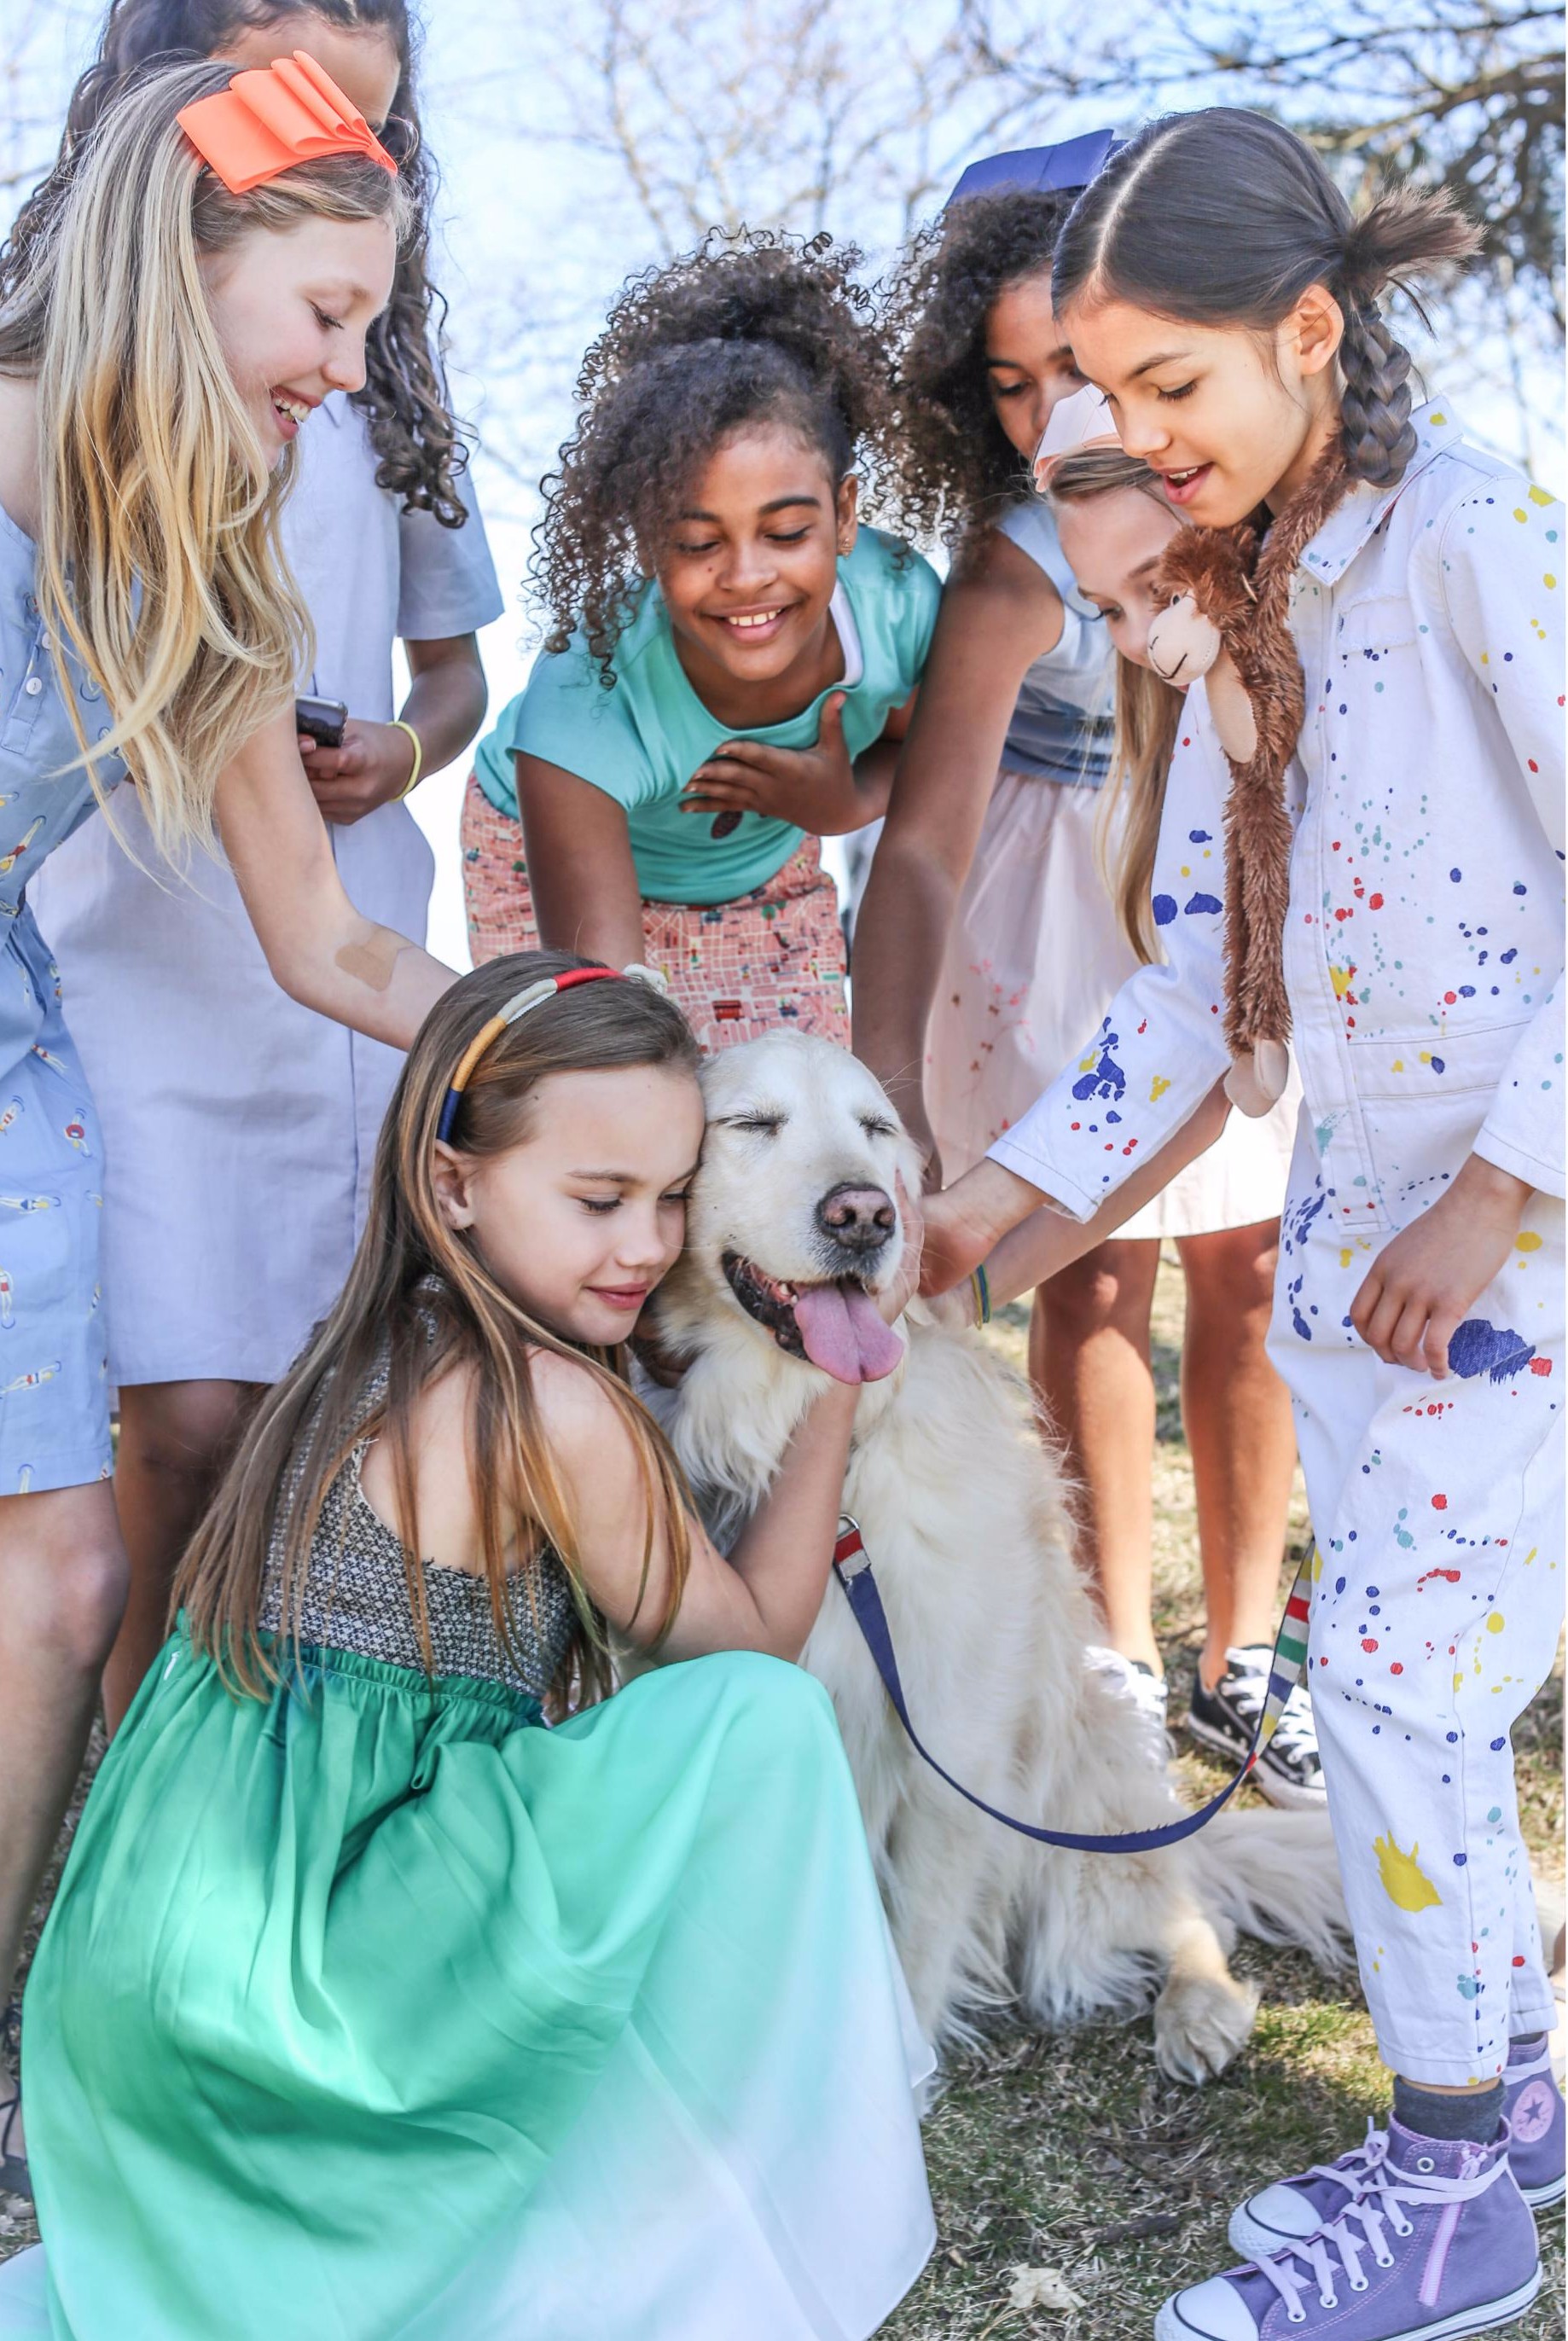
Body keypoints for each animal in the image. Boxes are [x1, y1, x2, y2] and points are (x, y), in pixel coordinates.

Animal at [646, 1032, 1346, 2082]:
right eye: (751, 1124)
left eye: (873, 1127)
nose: (866, 1215)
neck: (818, 1457)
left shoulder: (952, 1741)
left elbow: (915, 1942)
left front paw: (899, 2075)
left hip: (1079, 1799)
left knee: (1182, 1907)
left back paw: (1200, 2010)